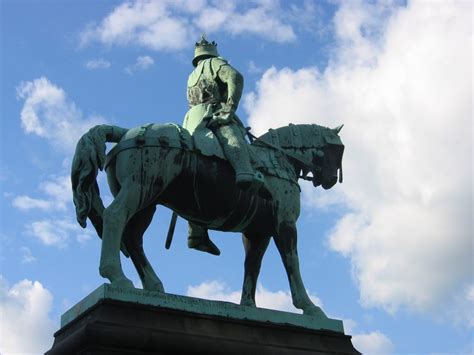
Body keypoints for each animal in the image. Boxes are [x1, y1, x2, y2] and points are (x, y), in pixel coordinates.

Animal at [71, 123, 344, 318]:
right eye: (338, 150)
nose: (330, 180)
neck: (276, 160)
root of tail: (126, 133)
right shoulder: (284, 224)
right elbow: (292, 263)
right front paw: (309, 306)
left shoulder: (257, 232)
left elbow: (252, 265)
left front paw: (248, 305)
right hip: (140, 190)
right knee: (115, 218)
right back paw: (117, 277)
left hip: (147, 204)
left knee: (132, 238)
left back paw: (153, 285)